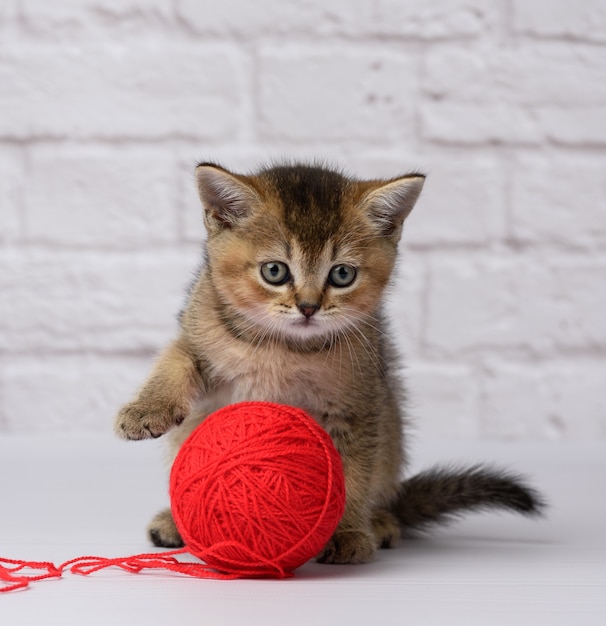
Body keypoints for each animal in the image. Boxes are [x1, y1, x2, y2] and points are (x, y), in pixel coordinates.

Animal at [115, 160, 548, 560]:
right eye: (275, 271)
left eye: (342, 275)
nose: (308, 307)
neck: (282, 348)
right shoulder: (198, 336)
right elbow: (174, 362)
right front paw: (144, 410)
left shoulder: (358, 405)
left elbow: (351, 474)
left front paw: (346, 533)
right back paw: (176, 522)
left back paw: (380, 522)